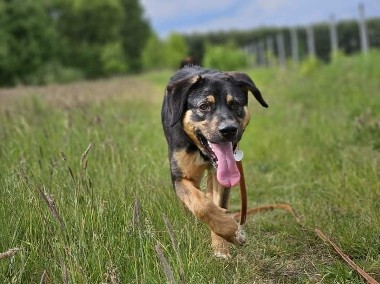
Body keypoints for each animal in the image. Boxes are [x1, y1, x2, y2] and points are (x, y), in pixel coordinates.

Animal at [160, 66, 268, 258]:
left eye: (235, 104)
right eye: (204, 106)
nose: (229, 130)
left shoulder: (221, 176)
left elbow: (215, 205)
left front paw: (221, 246)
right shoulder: (181, 177)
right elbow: (201, 205)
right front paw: (232, 231)